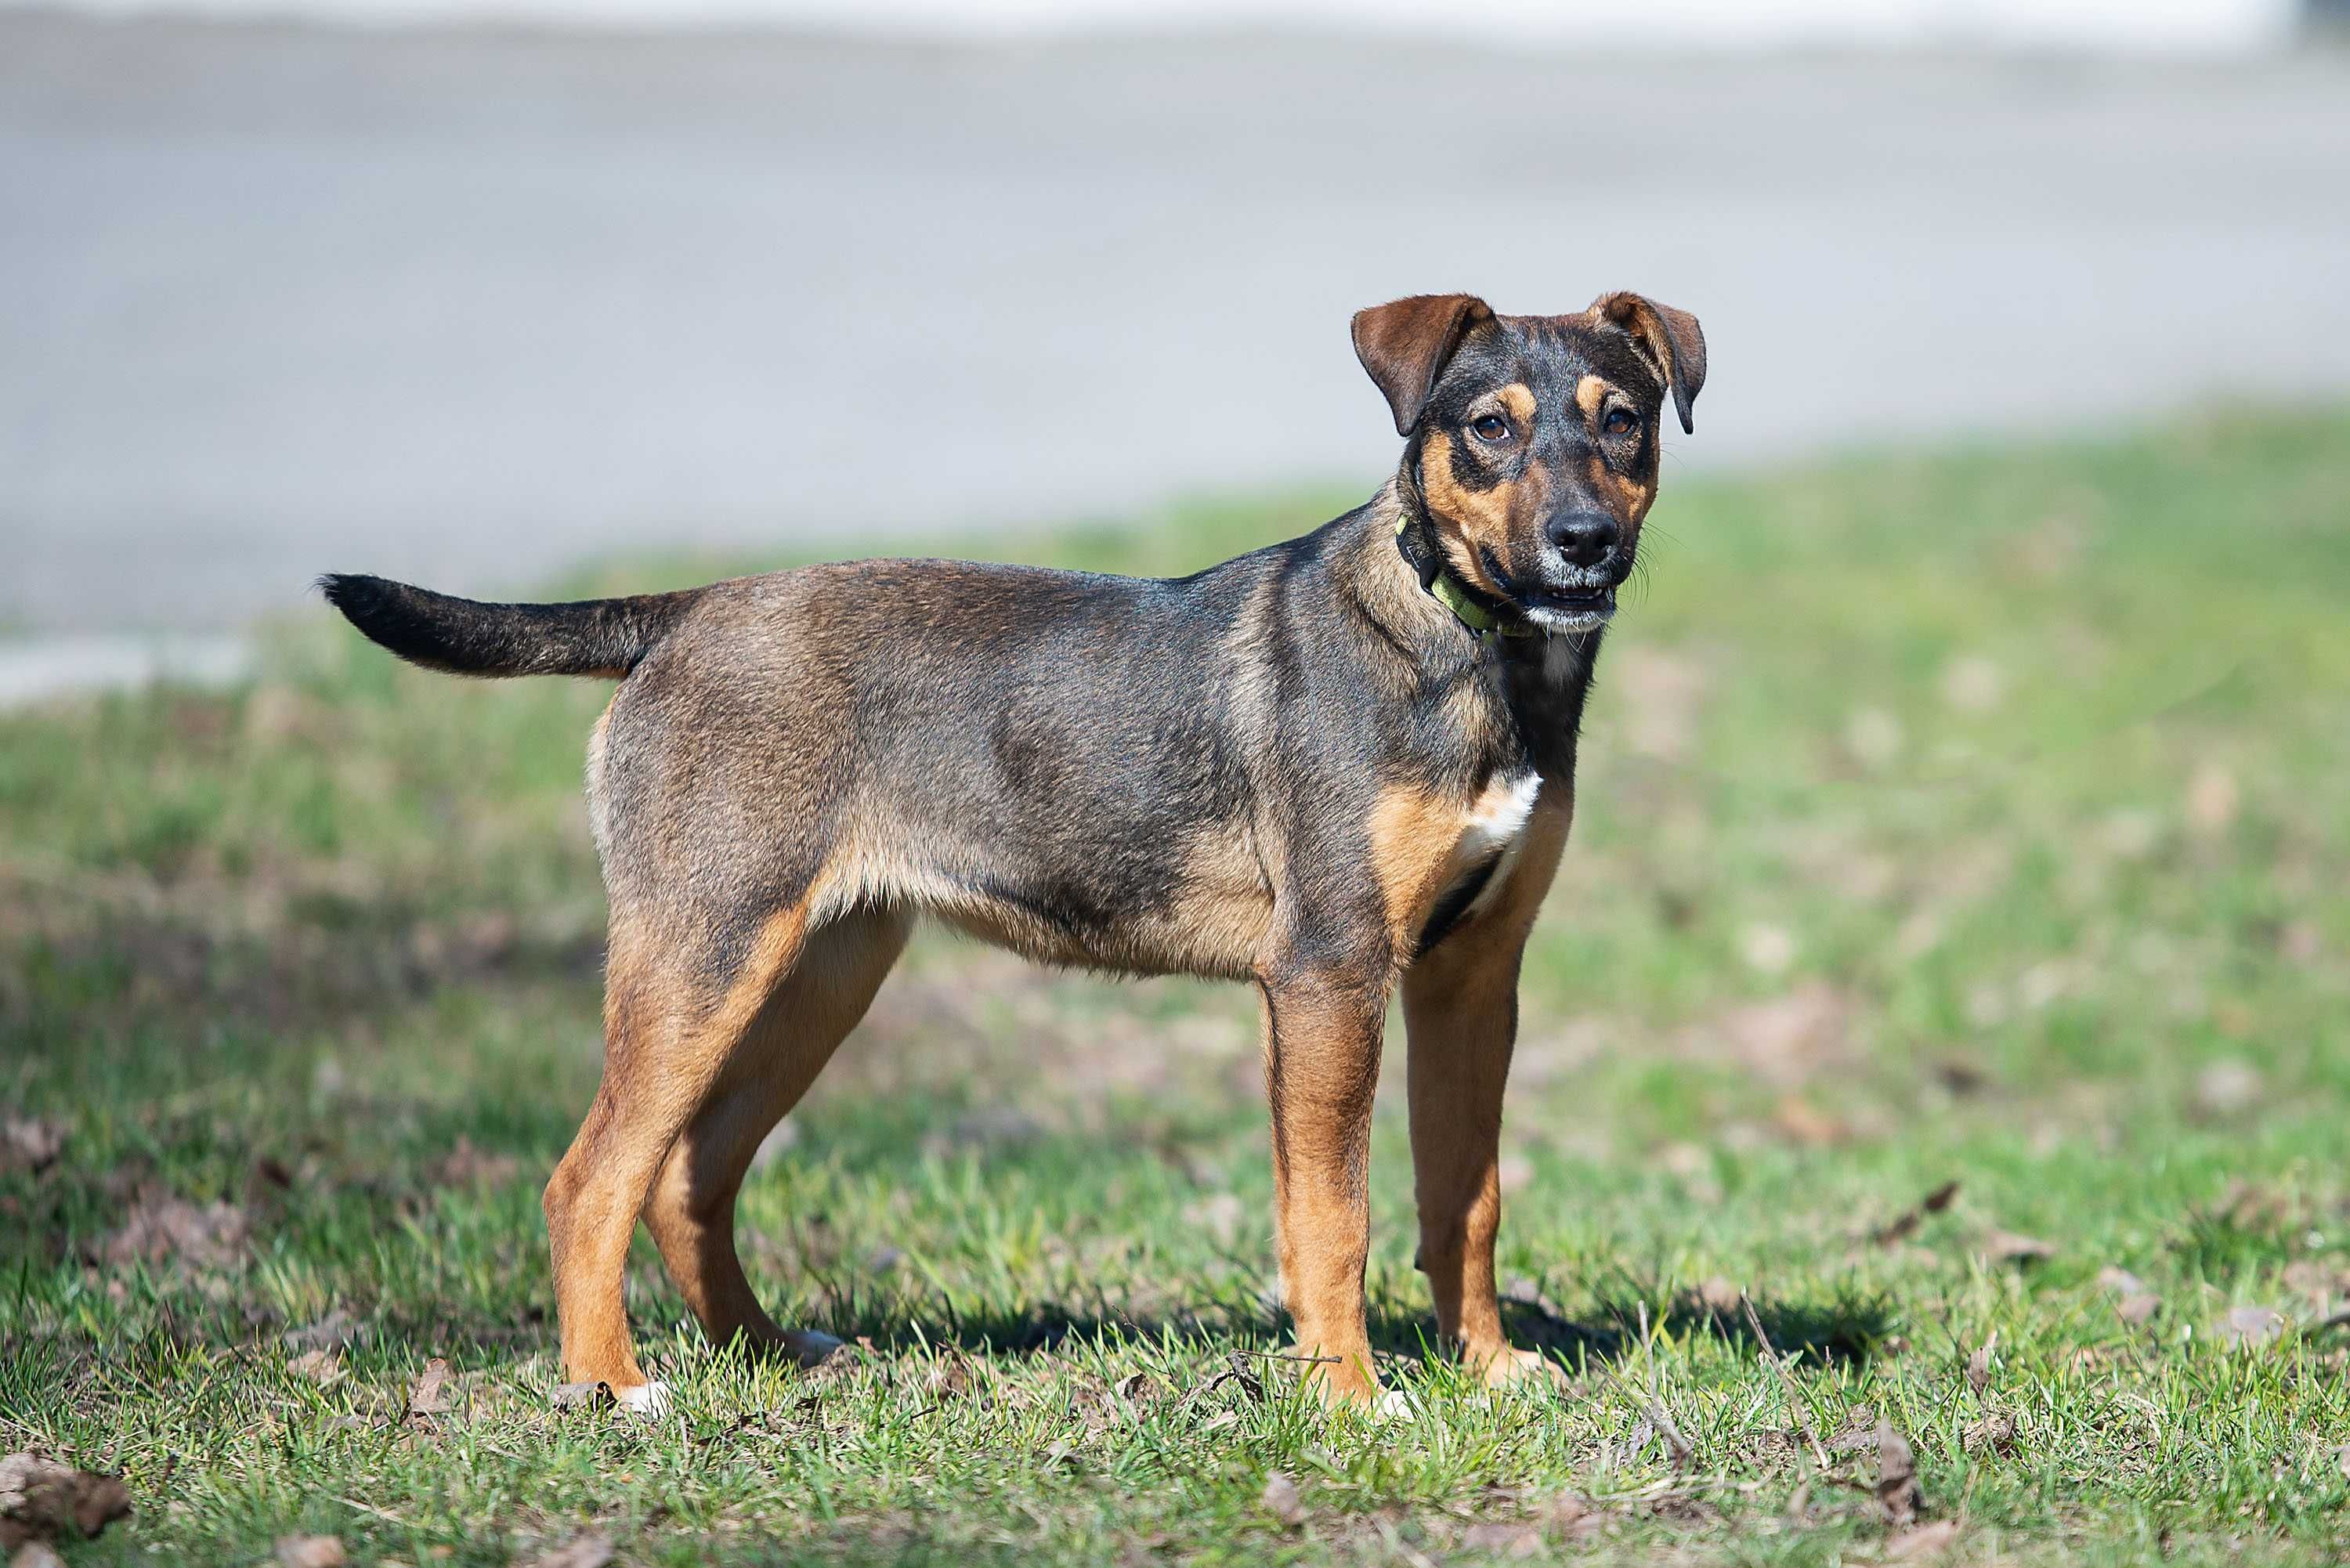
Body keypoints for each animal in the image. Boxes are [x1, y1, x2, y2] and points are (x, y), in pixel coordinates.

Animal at [317, 287, 1711, 1419]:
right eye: (1488, 426)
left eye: (1624, 420)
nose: (1584, 541)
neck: (1468, 645)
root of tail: (685, 614)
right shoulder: (1332, 970)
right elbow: (1335, 1214)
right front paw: (1350, 1398)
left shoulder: (1473, 975)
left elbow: (1463, 1195)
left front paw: (1489, 1367)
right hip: (704, 953)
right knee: (590, 1180)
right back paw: (610, 1384)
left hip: (815, 975)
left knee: (686, 1180)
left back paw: (770, 1354)